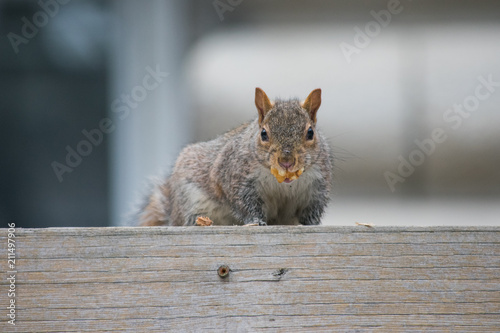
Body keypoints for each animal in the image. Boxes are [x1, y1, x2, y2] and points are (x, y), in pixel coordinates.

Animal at [138, 87, 332, 226]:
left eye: (310, 132)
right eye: (263, 134)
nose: (286, 162)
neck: (282, 182)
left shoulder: (317, 186)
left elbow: (313, 209)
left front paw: (310, 224)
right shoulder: (235, 177)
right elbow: (244, 203)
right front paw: (256, 221)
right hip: (189, 201)